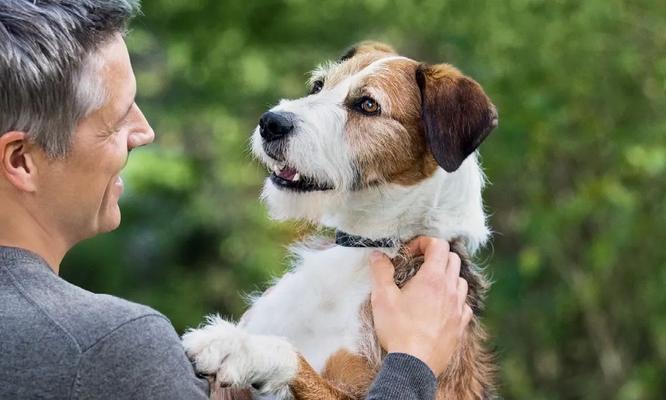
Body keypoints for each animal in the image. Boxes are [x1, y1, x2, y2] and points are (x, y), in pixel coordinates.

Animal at [184, 41, 496, 400]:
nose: (271, 122)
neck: (367, 246)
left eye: (368, 105)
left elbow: (292, 356)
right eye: (318, 86)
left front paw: (237, 347)